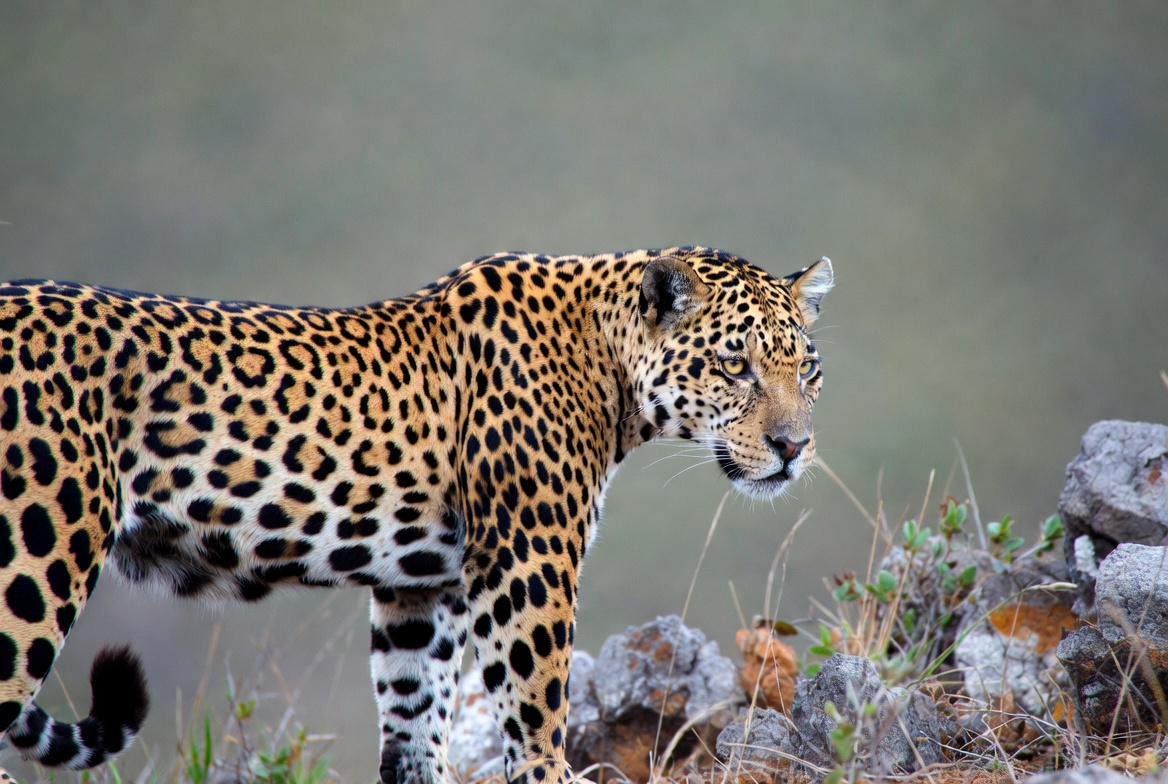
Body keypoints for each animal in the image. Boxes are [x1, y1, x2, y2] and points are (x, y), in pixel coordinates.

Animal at [0, 246, 832, 783]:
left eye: (808, 369)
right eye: (735, 365)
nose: (795, 447)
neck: (610, 371)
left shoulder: (421, 591)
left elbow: (415, 732)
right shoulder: (526, 568)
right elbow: (536, 716)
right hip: (32, 562)